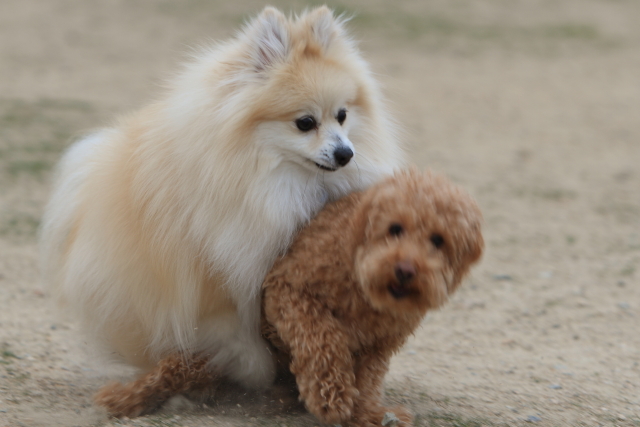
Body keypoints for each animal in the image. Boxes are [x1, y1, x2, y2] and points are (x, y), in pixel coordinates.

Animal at [39, 5, 403, 396]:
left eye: (342, 116)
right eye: (305, 123)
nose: (345, 153)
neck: (274, 180)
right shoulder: (222, 274)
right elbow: (237, 332)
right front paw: (257, 372)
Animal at [93, 169, 483, 423]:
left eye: (438, 241)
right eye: (394, 229)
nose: (405, 269)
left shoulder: (380, 345)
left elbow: (368, 380)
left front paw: (370, 413)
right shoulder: (287, 292)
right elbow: (324, 339)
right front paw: (330, 396)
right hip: (209, 348)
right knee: (168, 371)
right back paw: (124, 398)